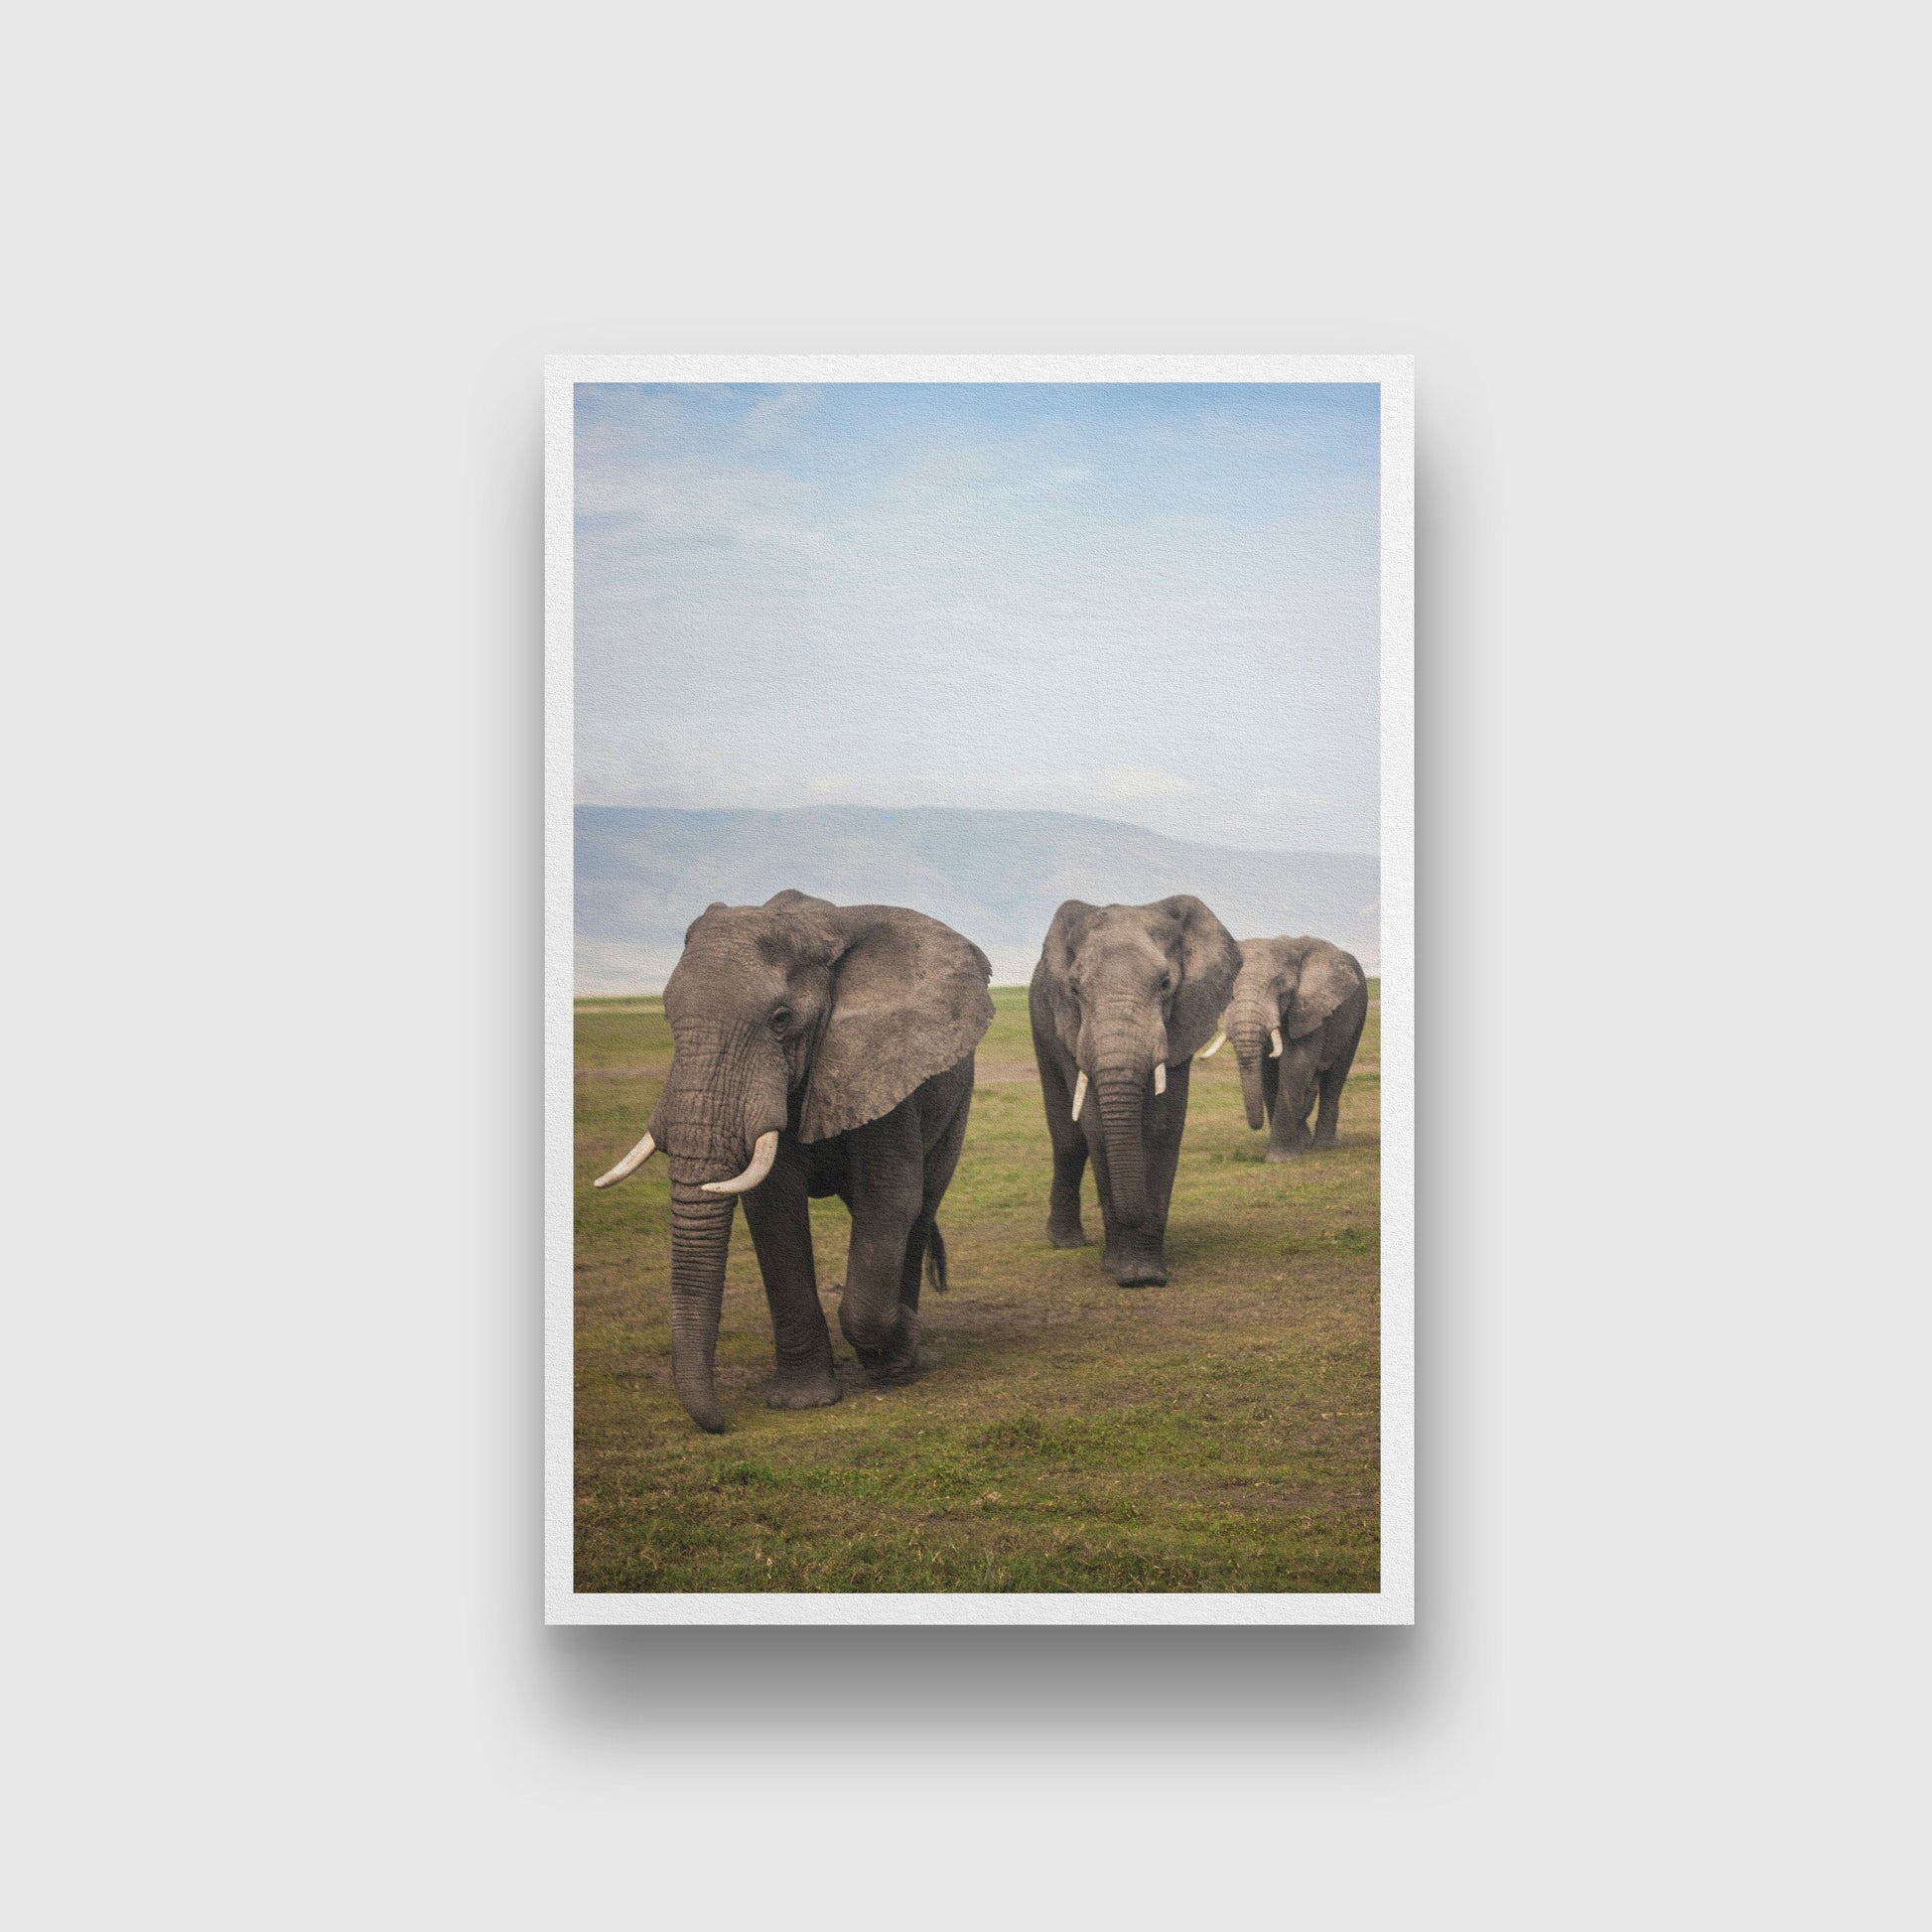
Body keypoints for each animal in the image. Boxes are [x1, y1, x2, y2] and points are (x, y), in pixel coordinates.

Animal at [591, 889, 993, 1433]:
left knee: (920, 1207)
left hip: (958, 1102)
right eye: (667, 1017)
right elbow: (773, 1210)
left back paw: (902, 1354)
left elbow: (890, 1199)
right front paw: (802, 1402)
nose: (721, 1423)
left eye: (781, 1020)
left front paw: (901, 1348)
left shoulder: (881, 1064)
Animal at [1029, 896, 1241, 1287]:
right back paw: (1065, 1242)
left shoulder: (1181, 1022)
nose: (1133, 1214)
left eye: (1165, 983)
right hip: (1041, 1022)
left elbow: (1163, 1127)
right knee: (1068, 1139)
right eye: (1075, 989)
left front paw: (1145, 1275)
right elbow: (1097, 1129)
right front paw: (1123, 1272)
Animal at [1200, 936, 1368, 1161]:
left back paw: (1324, 1146)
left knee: (1335, 1077)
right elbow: (1268, 1073)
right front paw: (1296, 1148)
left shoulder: (1309, 1009)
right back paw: (1305, 1141)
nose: (1256, 1125)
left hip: (1359, 1015)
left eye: (1280, 984)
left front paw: (1280, 1160)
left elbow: (1296, 1065)